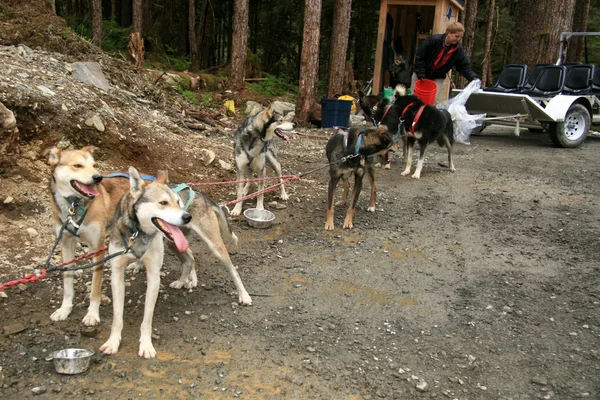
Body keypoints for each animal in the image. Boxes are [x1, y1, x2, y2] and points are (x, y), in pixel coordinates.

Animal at [46, 147, 131, 324]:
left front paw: (92, 314)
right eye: (77, 165)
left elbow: (95, 288)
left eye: (94, 165)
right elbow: (67, 282)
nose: (98, 178)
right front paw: (64, 309)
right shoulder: (66, 244)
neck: (74, 204)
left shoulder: (97, 247)